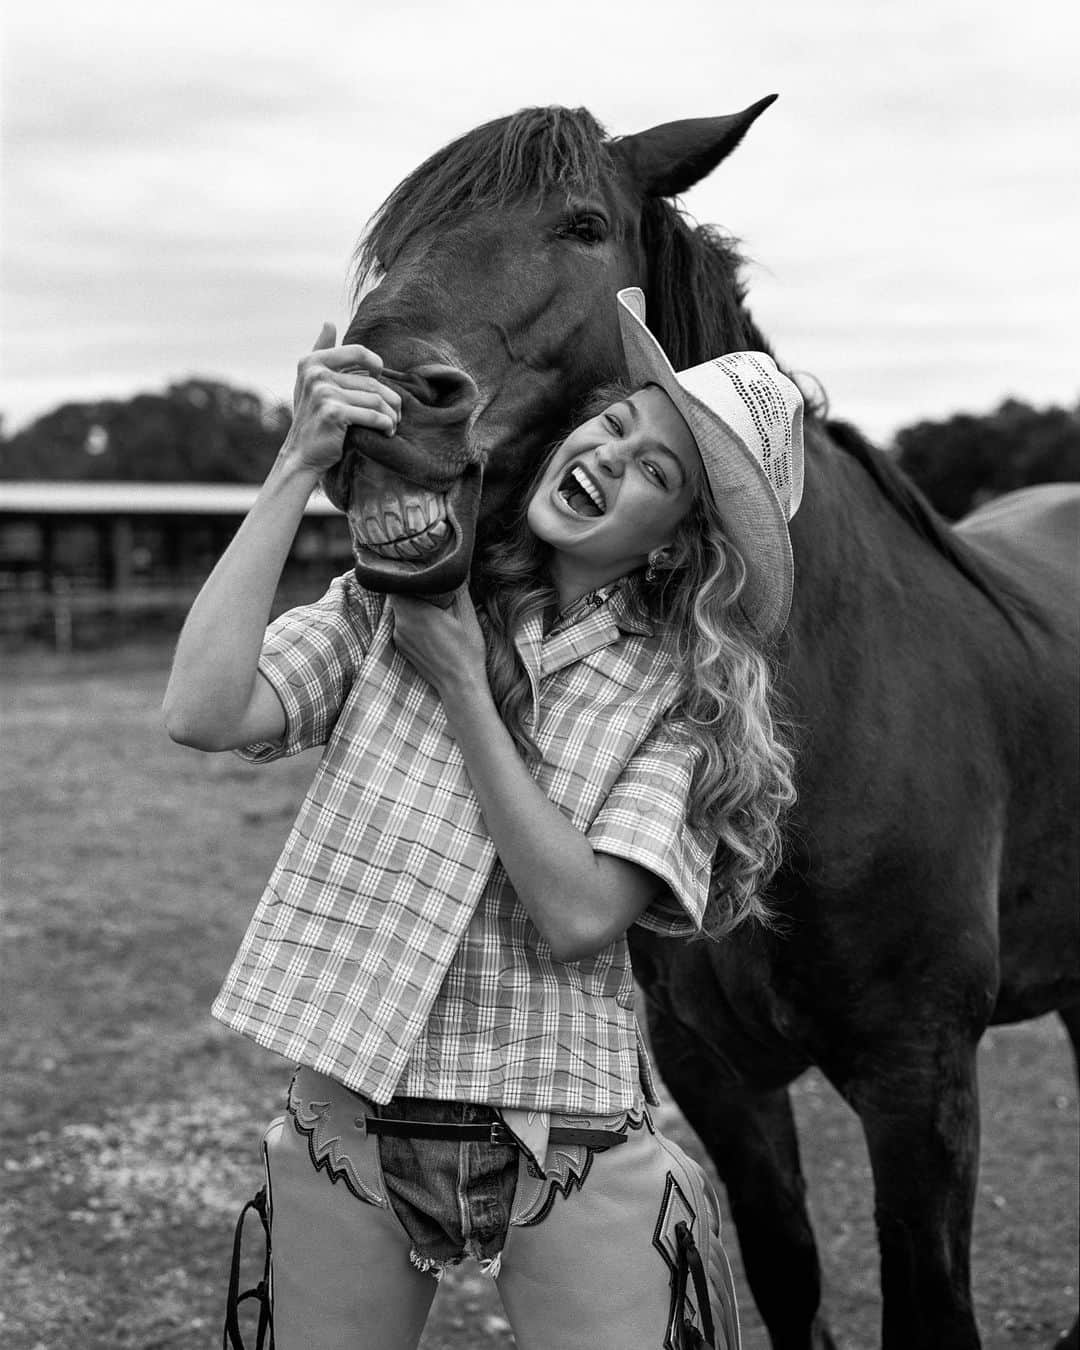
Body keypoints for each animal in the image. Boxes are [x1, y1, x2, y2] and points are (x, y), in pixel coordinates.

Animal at [319, 102, 1080, 1349]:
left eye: (583, 225)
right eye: (396, 236)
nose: (369, 409)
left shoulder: (920, 1075)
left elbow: (929, 1304)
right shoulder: (719, 1073)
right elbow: (788, 1277)